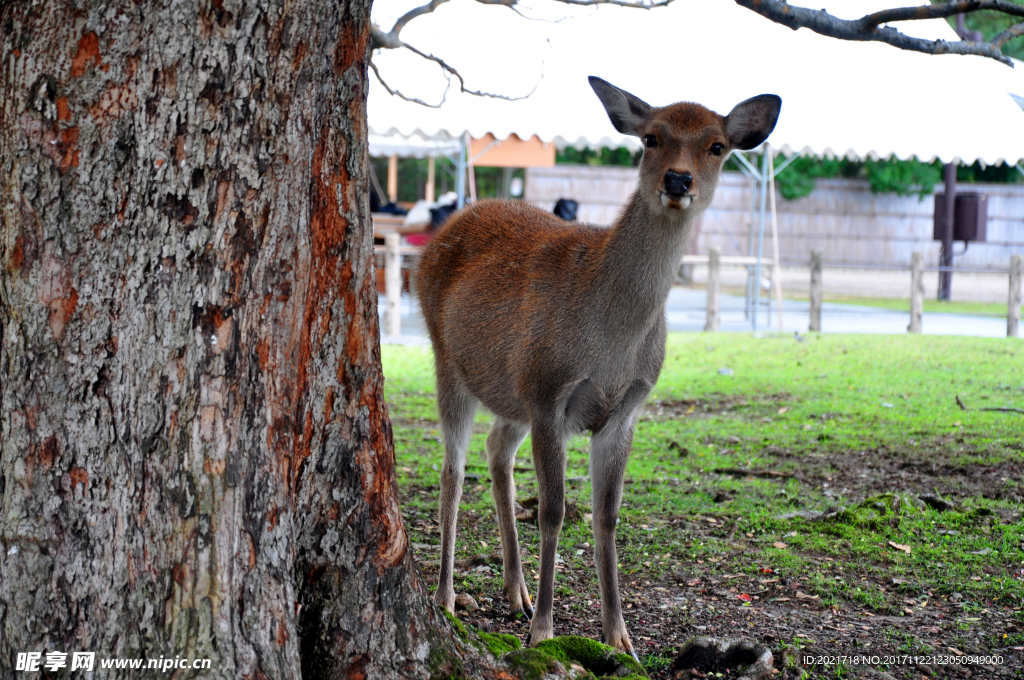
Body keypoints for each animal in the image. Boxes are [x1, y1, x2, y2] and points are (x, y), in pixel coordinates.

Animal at [411, 78, 778, 659]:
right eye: (651, 137)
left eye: (717, 145)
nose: (678, 179)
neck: (612, 343)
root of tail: (453, 220)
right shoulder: (548, 395)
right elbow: (555, 511)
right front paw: (544, 629)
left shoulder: (625, 411)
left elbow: (607, 516)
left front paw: (618, 636)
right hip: (448, 359)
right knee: (452, 469)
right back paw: (448, 597)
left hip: (510, 391)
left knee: (496, 450)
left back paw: (514, 591)